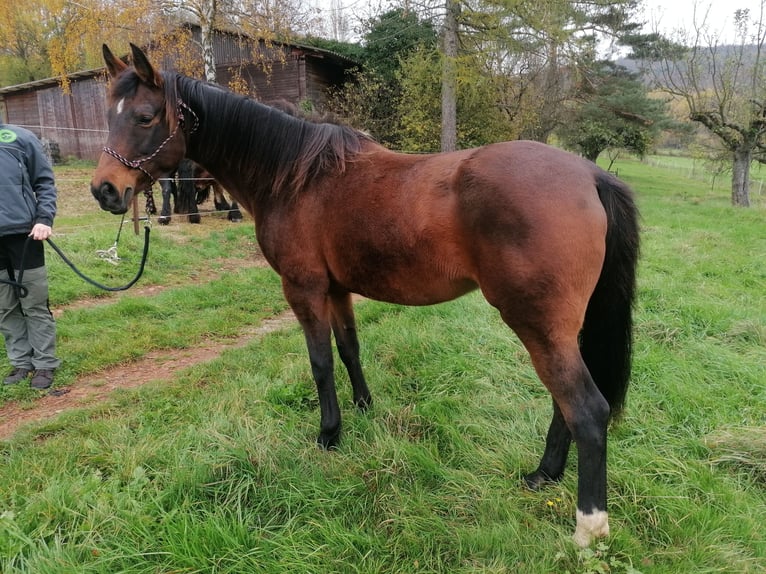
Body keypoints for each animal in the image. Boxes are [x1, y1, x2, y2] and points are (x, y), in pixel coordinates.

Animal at [90, 42, 640, 548]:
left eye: (144, 117)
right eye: (108, 112)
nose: (105, 190)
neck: (294, 176)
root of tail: (590, 175)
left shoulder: (304, 288)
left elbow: (320, 363)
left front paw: (328, 434)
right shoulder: (336, 290)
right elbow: (349, 349)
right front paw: (363, 408)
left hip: (539, 327)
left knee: (585, 410)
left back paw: (588, 527)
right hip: (560, 331)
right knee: (565, 404)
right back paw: (543, 475)